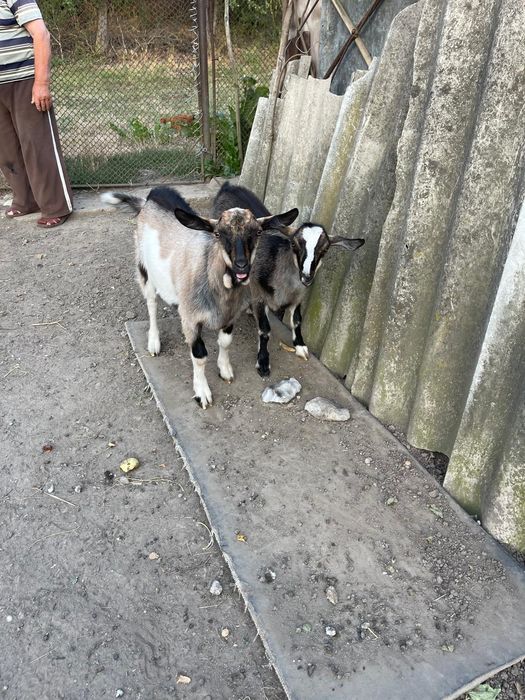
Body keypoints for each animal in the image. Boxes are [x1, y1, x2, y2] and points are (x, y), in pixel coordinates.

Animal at [101, 187, 298, 408]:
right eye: (218, 234)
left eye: (257, 232)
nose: (241, 266)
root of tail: (149, 198)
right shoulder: (192, 320)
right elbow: (200, 356)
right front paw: (202, 392)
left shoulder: (230, 316)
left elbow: (225, 342)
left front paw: (225, 370)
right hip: (144, 269)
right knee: (151, 303)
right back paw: (154, 342)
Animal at [213, 181, 365, 376]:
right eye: (294, 244)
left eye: (324, 250)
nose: (307, 276)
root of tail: (228, 186)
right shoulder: (258, 294)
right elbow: (265, 329)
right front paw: (263, 363)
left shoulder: (298, 297)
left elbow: (297, 320)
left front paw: (300, 346)